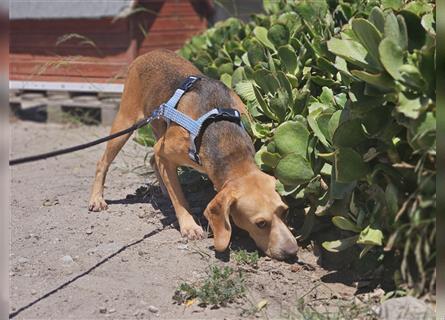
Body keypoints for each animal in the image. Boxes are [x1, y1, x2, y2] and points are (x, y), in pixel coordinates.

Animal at [88, 49, 298, 260]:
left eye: (285, 212)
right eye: (261, 223)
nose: (292, 251)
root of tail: (148, 53)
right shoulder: (164, 151)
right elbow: (180, 199)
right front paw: (189, 226)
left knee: (153, 161)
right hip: (125, 123)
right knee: (103, 162)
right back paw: (97, 199)